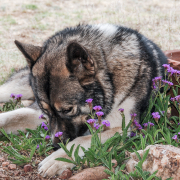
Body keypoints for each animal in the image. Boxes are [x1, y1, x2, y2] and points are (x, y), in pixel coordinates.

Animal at [0, 24, 167, 177]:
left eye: (67, 110)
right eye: (45, 110)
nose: (55, 145)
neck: (110, 75)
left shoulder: (125, 128)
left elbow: (82, 140)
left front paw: (56, 159)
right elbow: (13, 116)